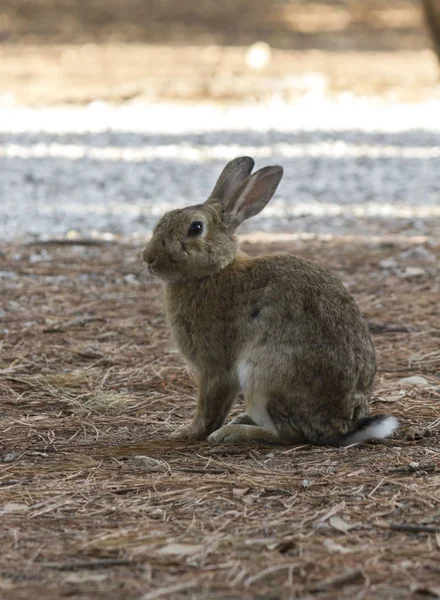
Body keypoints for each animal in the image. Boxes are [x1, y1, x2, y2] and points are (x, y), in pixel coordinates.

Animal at [142, 156, 398, 446]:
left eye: (196, 228)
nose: (148, 258)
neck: (215, 270)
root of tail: (343, 426)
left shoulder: (215, 367)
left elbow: (209, 407)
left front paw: (187, 432)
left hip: (263, 376)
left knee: (288, 434)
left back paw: (232, 432)